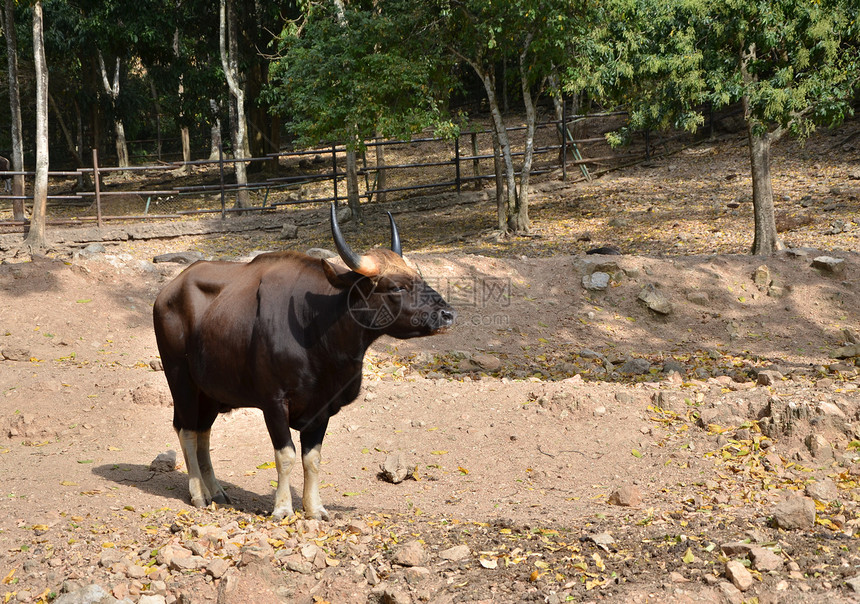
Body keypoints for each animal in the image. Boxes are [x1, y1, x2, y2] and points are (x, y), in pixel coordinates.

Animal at [153, 208, 456, 520]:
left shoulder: (322, 406)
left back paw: (216, 491)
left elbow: (312, 459)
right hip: (181, 381)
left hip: (211, 393)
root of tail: (167, 292)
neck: (318, 333)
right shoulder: (274, 403)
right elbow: (285, 455)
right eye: (396, 287)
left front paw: (314, 508)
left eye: (418, 277)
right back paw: (198, 494)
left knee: (203, 433)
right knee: (187, 431)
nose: (446, 314)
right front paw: (283, 508)